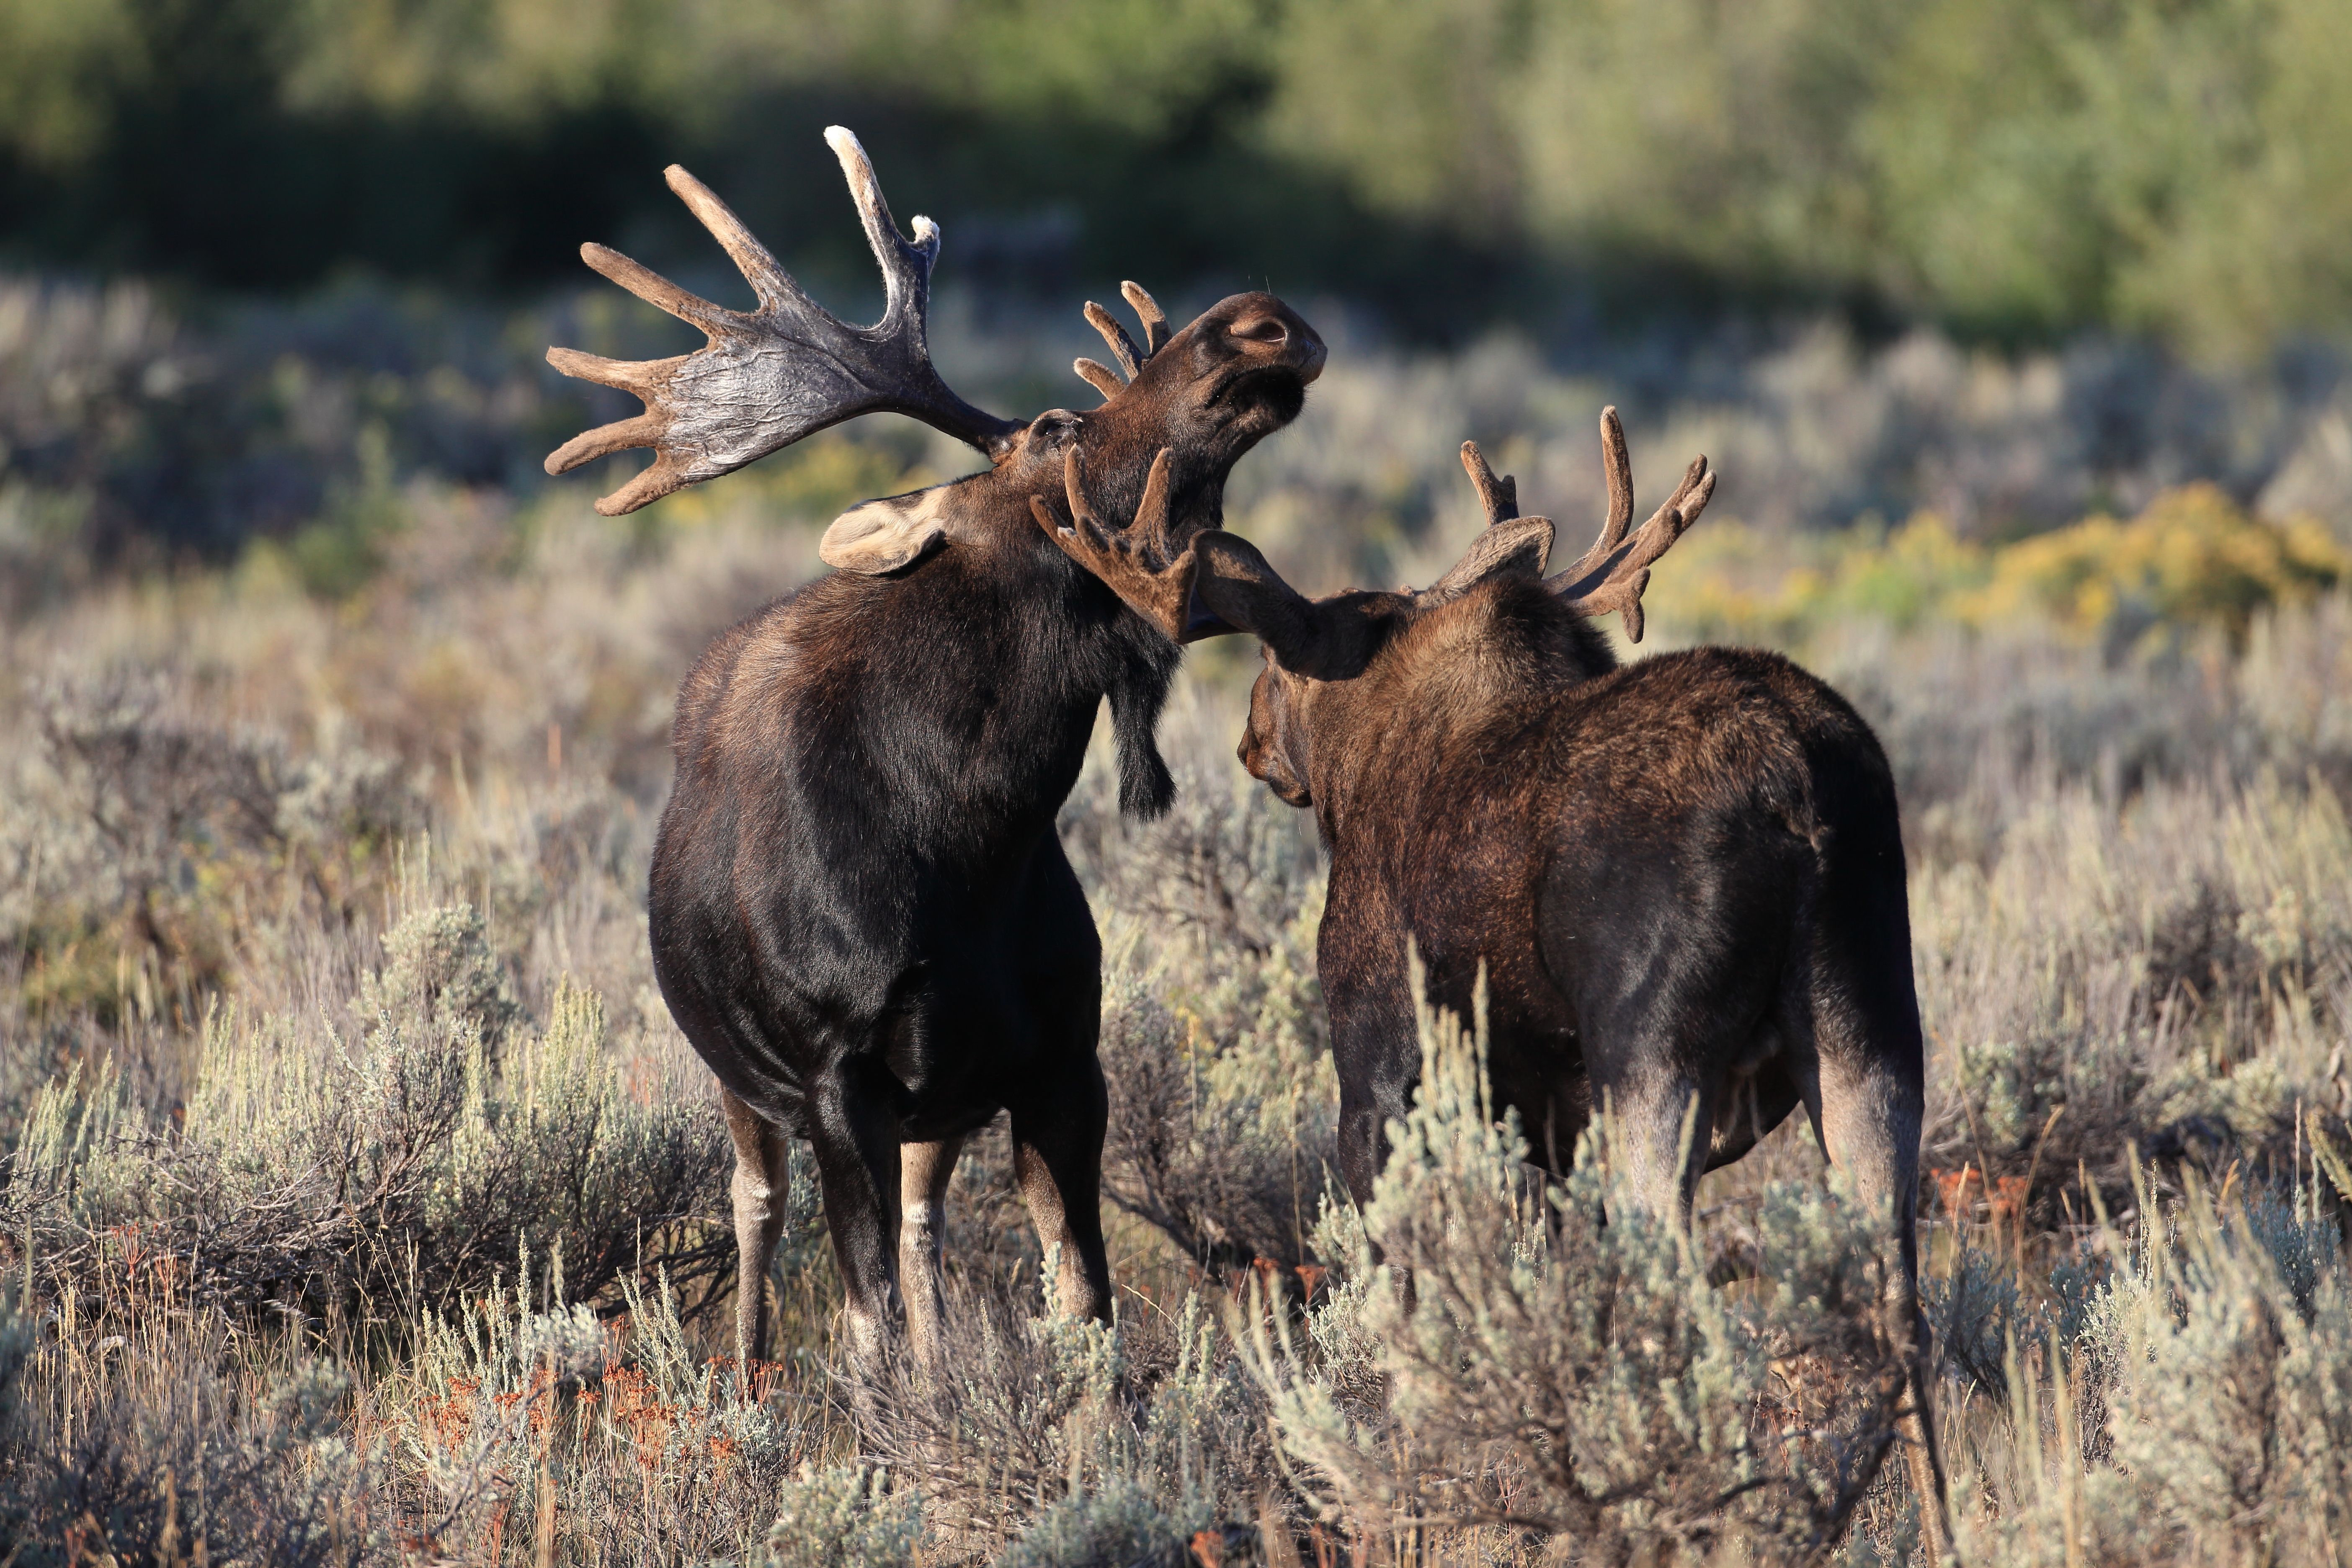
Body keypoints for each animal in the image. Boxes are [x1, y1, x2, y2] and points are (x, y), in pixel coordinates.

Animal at [542, 128, 1326, 1377]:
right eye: (1058, 434)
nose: (1258, 322)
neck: (971, 846)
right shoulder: (836, 1077)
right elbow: (860, 1328)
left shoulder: (1060, 1063)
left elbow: (1084, 1302)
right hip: (743, 1084)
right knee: (757, 1214)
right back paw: (748, 1376)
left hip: (940, 1108)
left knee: (924, 1236)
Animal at [1035, 411, 1950, 1550]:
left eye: (1281, 663)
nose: (1250, 739)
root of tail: (1800, 793)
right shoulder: (1549, 1120)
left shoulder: (1379, 1074)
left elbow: (1399, 1318)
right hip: (1871, 1030)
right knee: (1902, 1309)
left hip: (1653, 1055)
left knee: (1681, 1292)